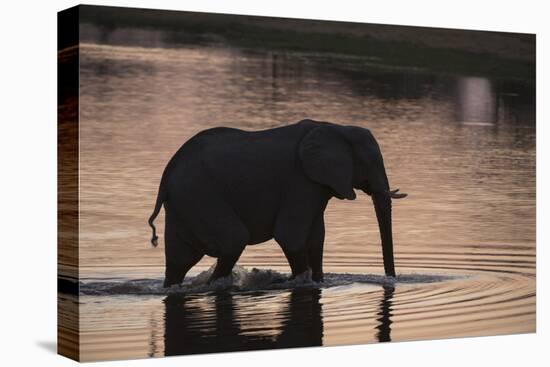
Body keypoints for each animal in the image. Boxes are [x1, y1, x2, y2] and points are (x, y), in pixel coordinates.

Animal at [149, 119, 408, 288]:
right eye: (370, 161)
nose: (391, 280)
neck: (336, 127)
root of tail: (165, 179)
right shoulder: (300, 181)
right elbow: (291, 236)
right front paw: (299, 281)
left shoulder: (316, 186)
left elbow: (317, 238)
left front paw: (318, 281)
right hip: (200, 194)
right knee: (234, 240)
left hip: (185, 203)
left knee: (179, 259)